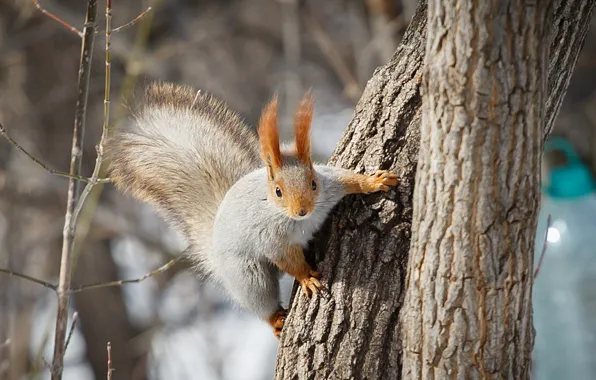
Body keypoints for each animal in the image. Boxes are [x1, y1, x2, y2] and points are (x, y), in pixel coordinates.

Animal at [105, 81, 398, 336]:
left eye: (313, 184)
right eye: (278, 191)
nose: (302, 210)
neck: (299, 220)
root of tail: (214, 250)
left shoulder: (330, 185)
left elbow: (348, 179)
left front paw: (374, 181)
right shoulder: (271, 237)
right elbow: (287, 259)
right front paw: (306, 278)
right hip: (247, 276)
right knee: (261, 300)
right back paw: (275, 320)